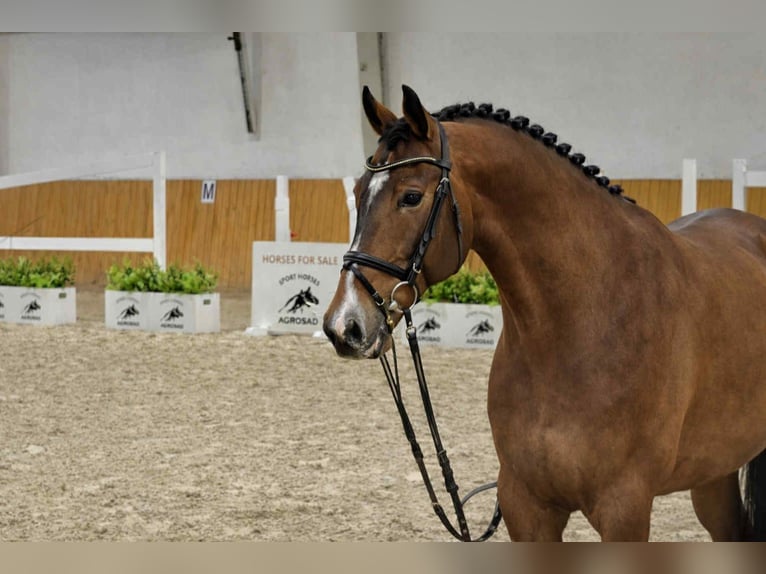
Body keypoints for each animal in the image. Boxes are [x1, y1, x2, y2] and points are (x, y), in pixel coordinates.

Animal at [323, 84, 766, 541]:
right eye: (357, 193)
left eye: (411, 197)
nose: (345, 324)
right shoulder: (526, 505)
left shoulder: (624, 508)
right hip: (714, 470)